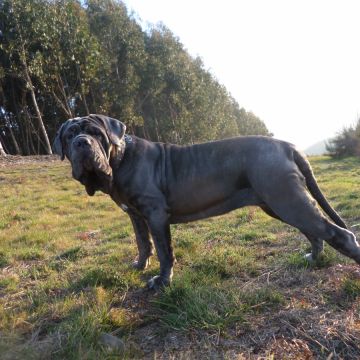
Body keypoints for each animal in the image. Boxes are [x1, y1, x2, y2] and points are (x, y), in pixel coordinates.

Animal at [52, 115, 360, 290]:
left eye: (96, 133)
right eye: (69, 135)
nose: (81, 143)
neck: (120, 159)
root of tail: (288, 145)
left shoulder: (155, 214)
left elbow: (164, 250)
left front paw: (162, 282)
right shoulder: (135, 215)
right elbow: (143, 243)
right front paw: (139, 266)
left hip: (286, 199)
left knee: (338, 233)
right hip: (279, 203)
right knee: (314, 232)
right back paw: (312, 258)